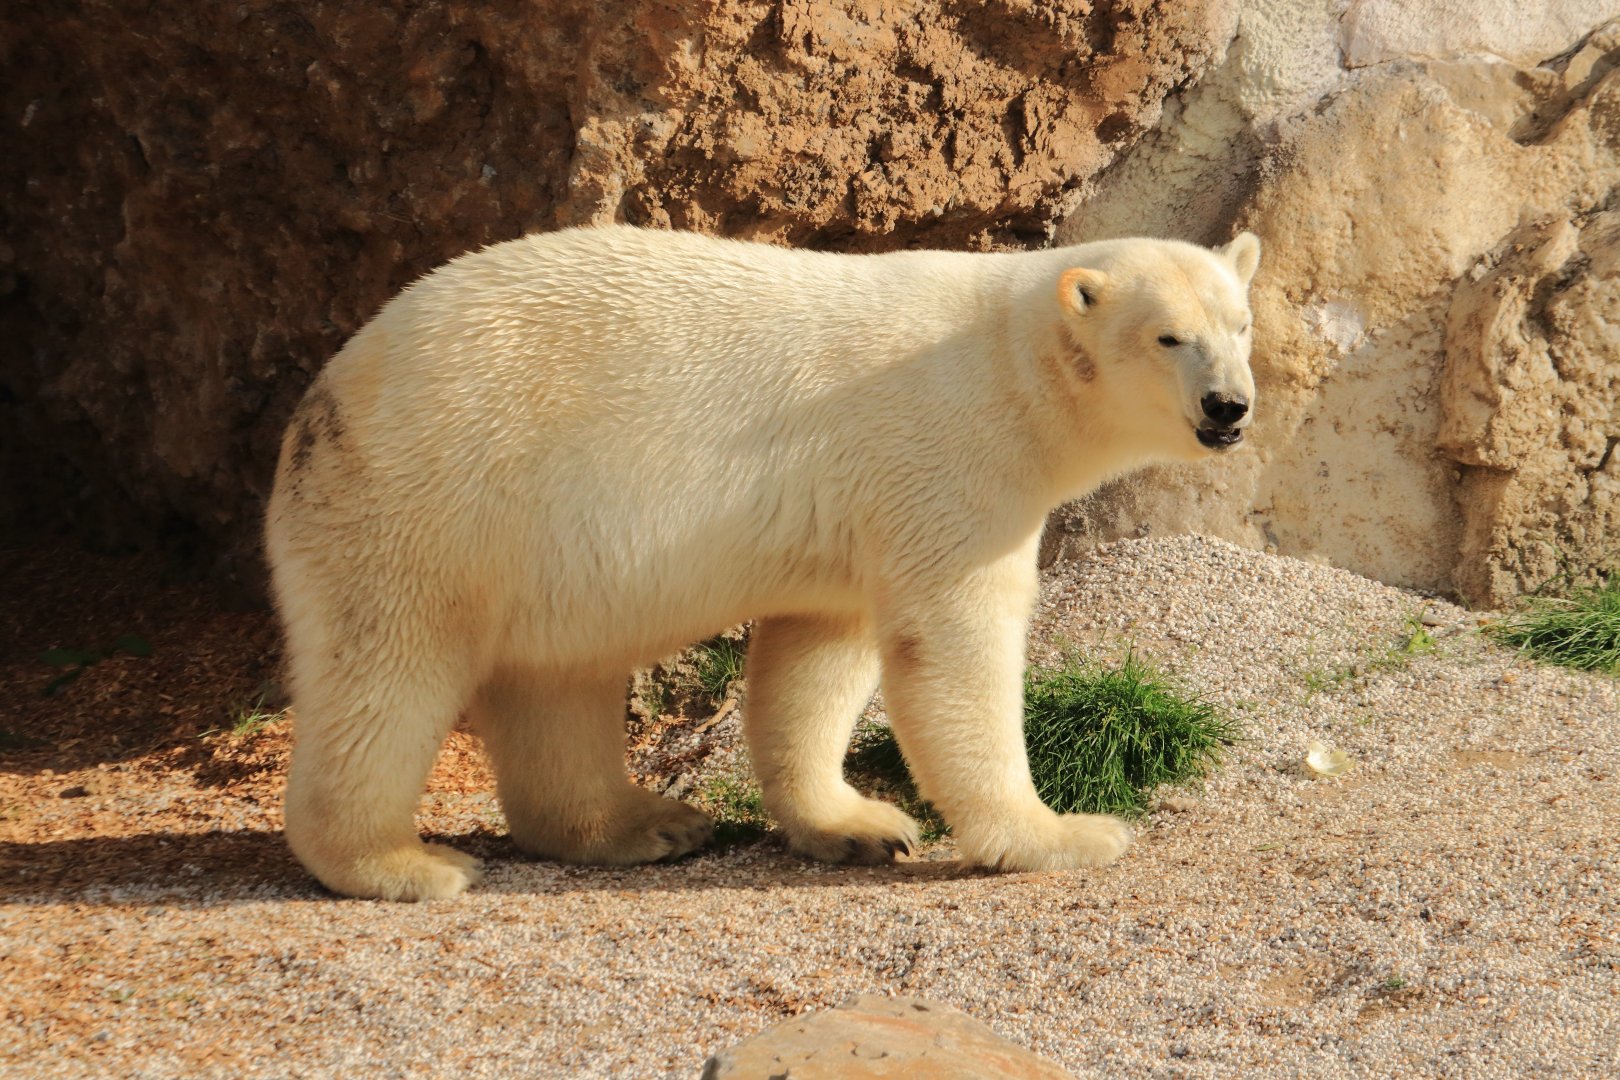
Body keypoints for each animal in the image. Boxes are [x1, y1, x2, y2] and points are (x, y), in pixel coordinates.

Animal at [265, 224, 1260, 901]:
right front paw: (1064, 834)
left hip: (534, 546)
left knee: (558, 679)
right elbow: (953, 644)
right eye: (1168, 336)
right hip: (436, 498)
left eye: (1242, 323)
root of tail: (321, 398)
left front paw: (859, 825)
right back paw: (402, 863)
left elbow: (818, 655)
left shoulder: (859, 509)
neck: (1010, 367)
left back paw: (647, 823)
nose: (1229, 406)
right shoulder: (947, 459)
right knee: (389, 671)